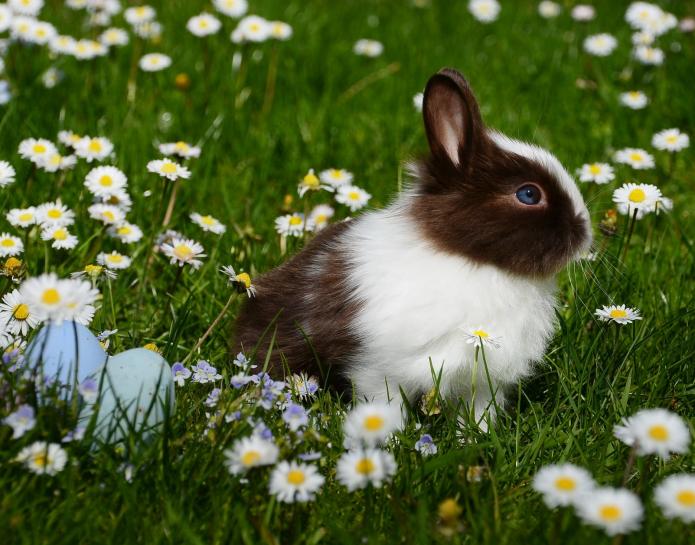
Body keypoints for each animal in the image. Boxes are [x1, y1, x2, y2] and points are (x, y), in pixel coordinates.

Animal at [234, 68, 592, 427]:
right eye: (529, 194)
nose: (585, 233)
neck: (472, 260)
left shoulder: (482, 381)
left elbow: (477, 413)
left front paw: (475, 435)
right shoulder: (378, 369)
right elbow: (384, 406)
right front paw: (389, 435)